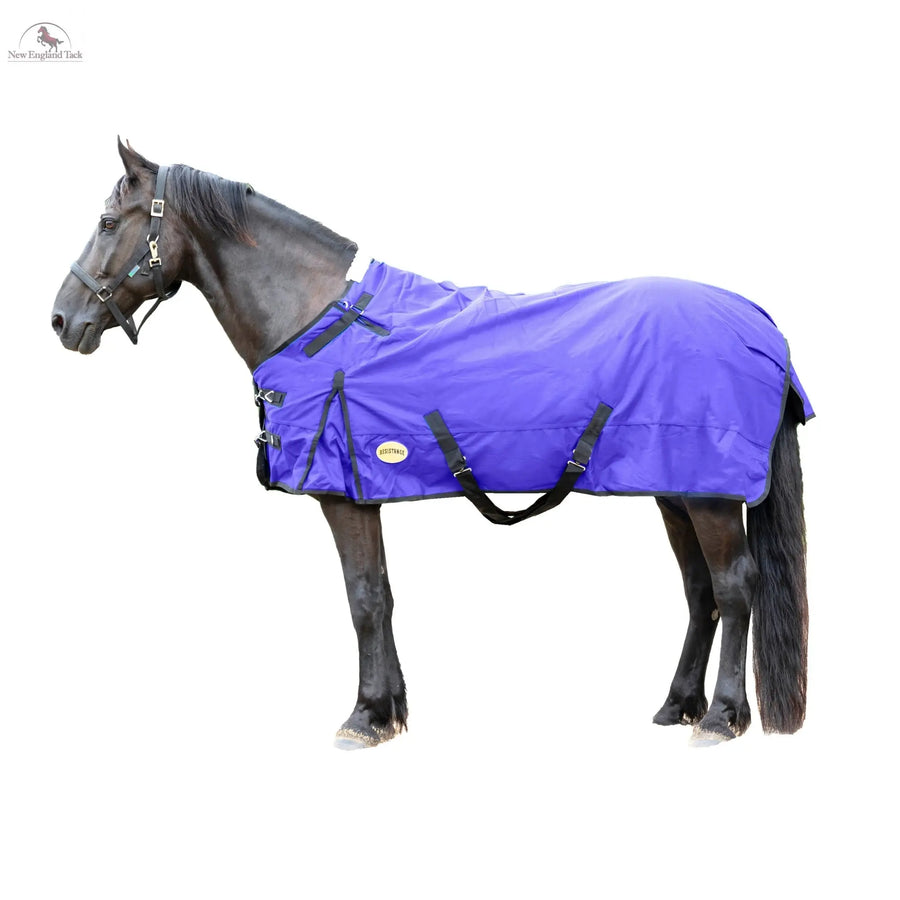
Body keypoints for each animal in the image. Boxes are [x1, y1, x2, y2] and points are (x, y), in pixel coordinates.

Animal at [51, 139, 811, 749]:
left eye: (106, 223)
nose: (61, 319)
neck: (314, 318)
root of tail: (759, 322)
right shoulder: (364, 494)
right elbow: (383, 594)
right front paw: (390, 711)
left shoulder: (342, 496)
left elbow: (361, 597)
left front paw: (362, 718)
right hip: (676, 489)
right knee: (699, 590)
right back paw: (677, 705)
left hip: (711, 496)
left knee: (734, 588)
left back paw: (721, 717)